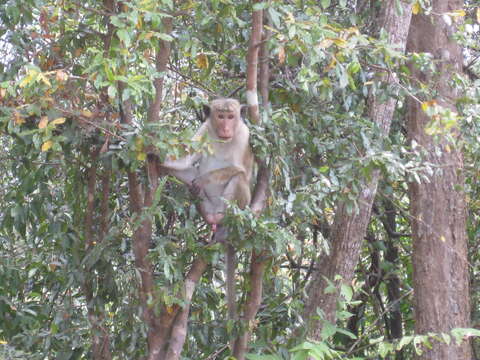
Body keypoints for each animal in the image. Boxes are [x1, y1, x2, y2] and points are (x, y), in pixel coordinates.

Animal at [160, 97, 255, 320]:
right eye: (220, 116)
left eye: (231, 116)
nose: (226, 127)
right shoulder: (204, 129)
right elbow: (185, 158)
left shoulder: (243, 135)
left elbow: (240, 170)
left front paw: (205, 179)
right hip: (206, 205)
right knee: (189, 177)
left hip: (238, 207)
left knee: (238, 178)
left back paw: (222, 223)